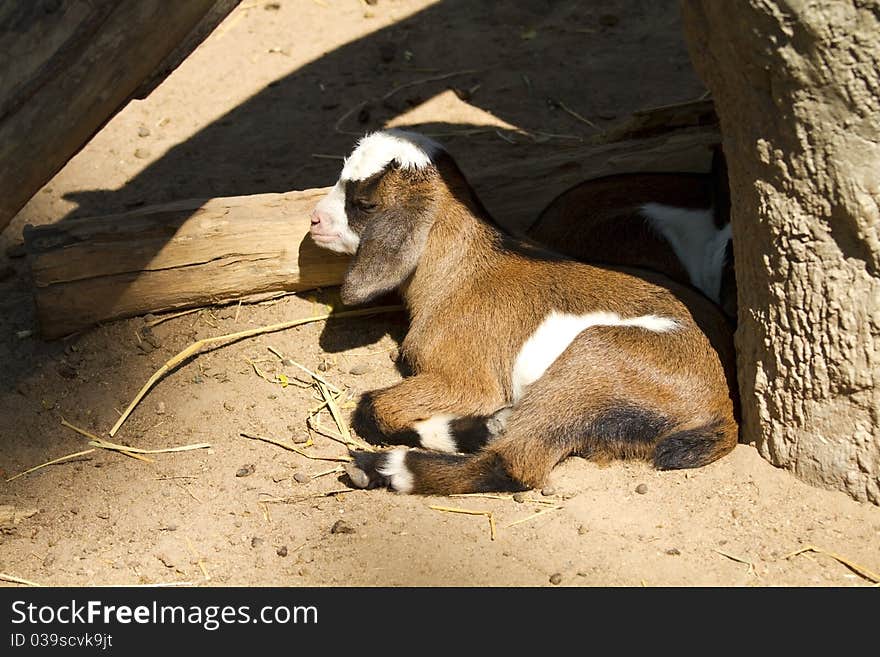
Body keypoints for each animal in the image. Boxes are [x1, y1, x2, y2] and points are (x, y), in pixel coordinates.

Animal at [310, 131, 736, 494]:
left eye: (365, 203)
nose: (314, 220)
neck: (460, 273)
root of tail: (723, 408)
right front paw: (486, 426)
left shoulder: (467, 381)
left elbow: (372, 407)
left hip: (593, 359)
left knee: (515, 464)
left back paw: (384, 468)